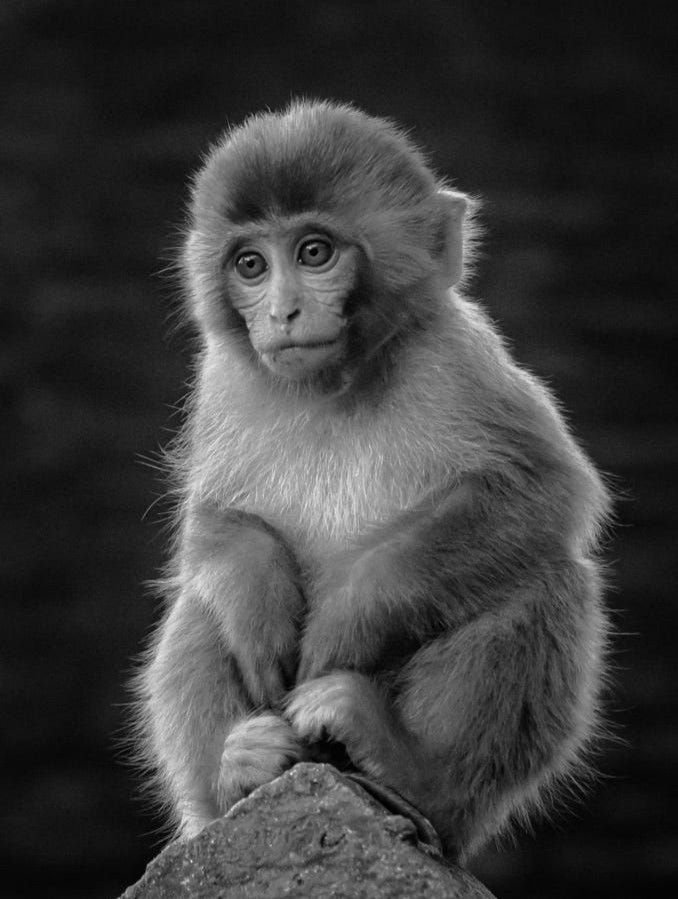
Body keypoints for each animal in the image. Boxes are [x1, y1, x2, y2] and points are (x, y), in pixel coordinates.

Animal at [134, 99, 611, 860]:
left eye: (314, 253)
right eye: (250, 264)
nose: (283, 312)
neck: (337, 383)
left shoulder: (456, 356)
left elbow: (538, 491)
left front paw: (347, 620)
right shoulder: (222, 378)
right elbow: (218, 519)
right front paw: (262, 608)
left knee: (547, 575)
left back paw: (411, 772)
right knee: (201, 601)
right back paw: (236, 774)